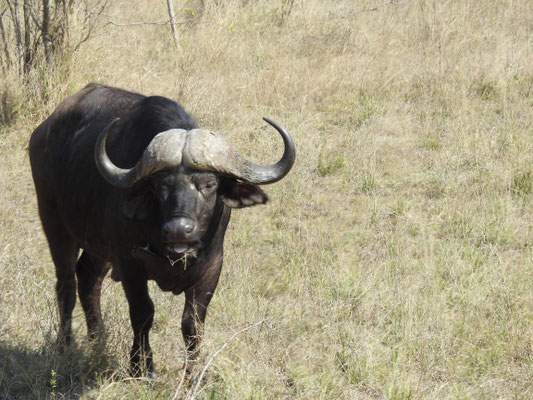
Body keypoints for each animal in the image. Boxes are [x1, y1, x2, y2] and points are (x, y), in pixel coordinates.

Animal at [29, 83, 296, 376]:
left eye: (209, 185)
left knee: (88, 278)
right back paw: (66, 345)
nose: (179, 229)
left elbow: (193, 324)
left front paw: (192, 373)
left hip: (97, 246)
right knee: (66, 284)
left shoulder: (212, 267)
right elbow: (143, 313)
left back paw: (98, 341)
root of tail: (43, 131)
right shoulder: (129, 263)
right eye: (161, 186)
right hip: (55, 224)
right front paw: (141, 366)